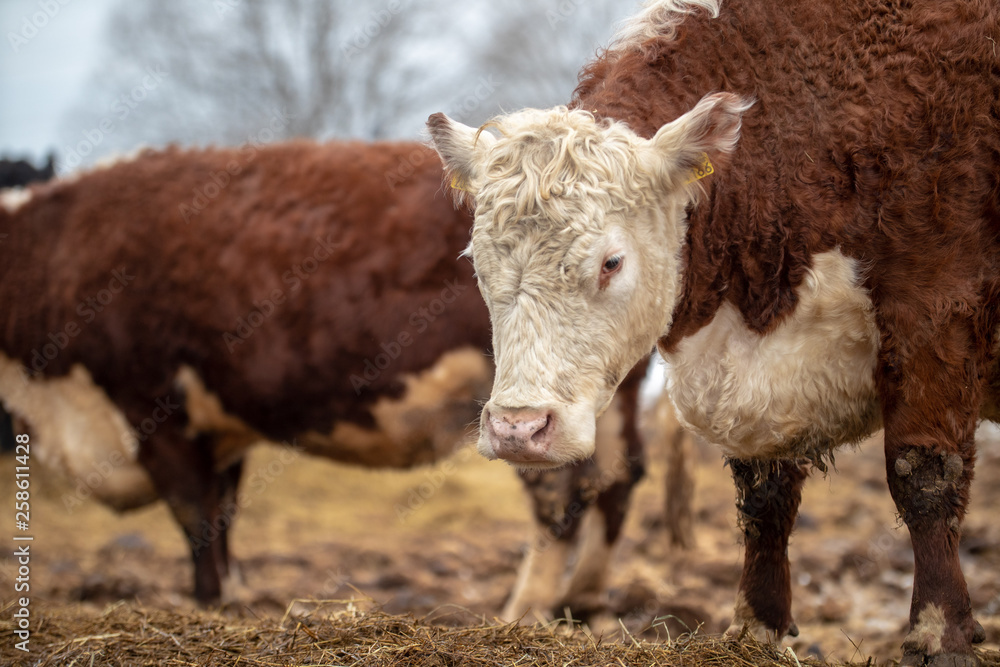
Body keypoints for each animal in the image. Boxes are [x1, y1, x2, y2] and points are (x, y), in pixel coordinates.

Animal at [0, 140, 671, 620]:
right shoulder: (217, 424)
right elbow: (223, 513)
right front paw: (235, 597)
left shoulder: (154, 410)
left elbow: (195, 516)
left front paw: (213, 603)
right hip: (608, 393)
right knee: (619, 475)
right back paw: (583, 599)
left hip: (531, 400)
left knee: (562, 491)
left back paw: (525, 610)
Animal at [427, 0, 999, 663]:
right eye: (475, 260)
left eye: (611, 261)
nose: (518, 429)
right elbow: (764, 498)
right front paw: (756, 627)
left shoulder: (933, 309)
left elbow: (924, 477)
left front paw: (939, 633)